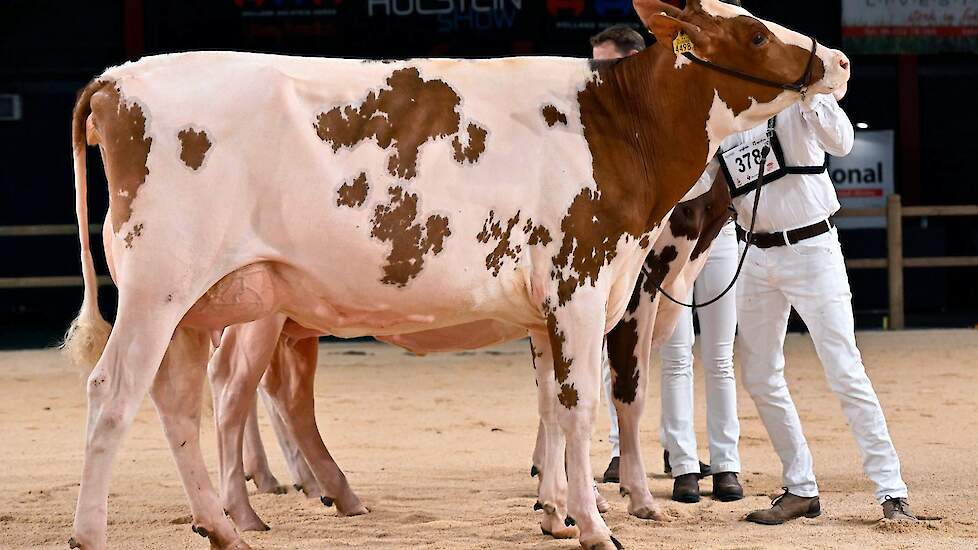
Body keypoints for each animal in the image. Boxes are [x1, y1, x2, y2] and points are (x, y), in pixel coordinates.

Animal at [63, 2, 848, 548]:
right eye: (753, 35)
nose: (838, 60)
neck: (615, 125)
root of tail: (118, 78)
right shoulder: (582, 286)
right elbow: (589, 406)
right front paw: (600, 524)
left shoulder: (555, 306)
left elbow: (553, 406)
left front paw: (556, 515)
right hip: (159, 289)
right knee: (116, 392)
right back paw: (97, 531)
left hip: (203, 303)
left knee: (180, 400)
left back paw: (223, 524)